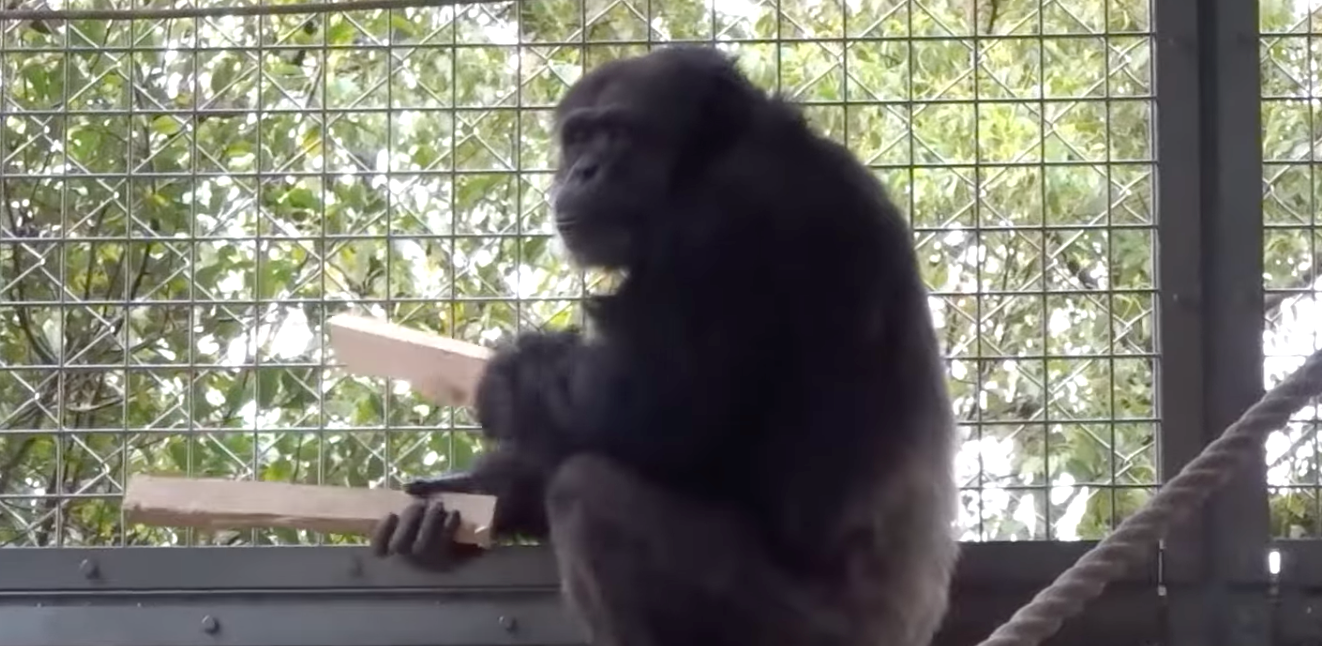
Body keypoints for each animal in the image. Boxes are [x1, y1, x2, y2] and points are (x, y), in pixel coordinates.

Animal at [371, 44, 959, 646]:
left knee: (588, 493)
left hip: (806, 630)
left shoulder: (723, 223)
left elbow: (649, 412)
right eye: (579, 137)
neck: (700, 166)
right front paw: (469, 497)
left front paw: (508, 378)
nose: (584, 170)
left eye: (617, 133)